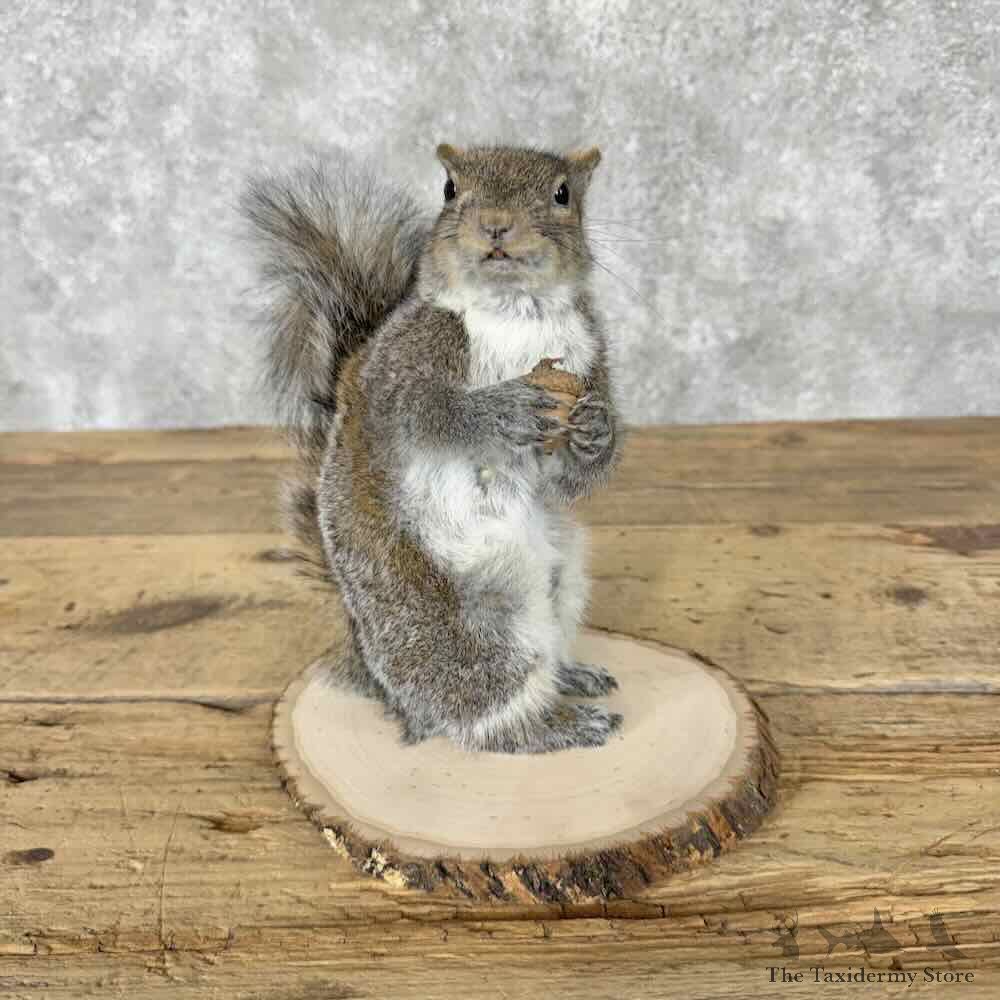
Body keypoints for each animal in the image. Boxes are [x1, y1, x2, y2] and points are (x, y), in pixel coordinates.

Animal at [242, 143, 624, 753]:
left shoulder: (590, 357)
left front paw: (596, 431)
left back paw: (570, 675)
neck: (515, 311)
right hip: (461, 634)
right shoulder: (405, 360)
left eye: (563, 193)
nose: (496, 224)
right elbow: (423, 411)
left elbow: (568, 477)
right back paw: (555, 724)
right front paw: (498, 410)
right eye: (449, 189)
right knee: (486, 716)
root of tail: (374, 670)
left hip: (563, 582)